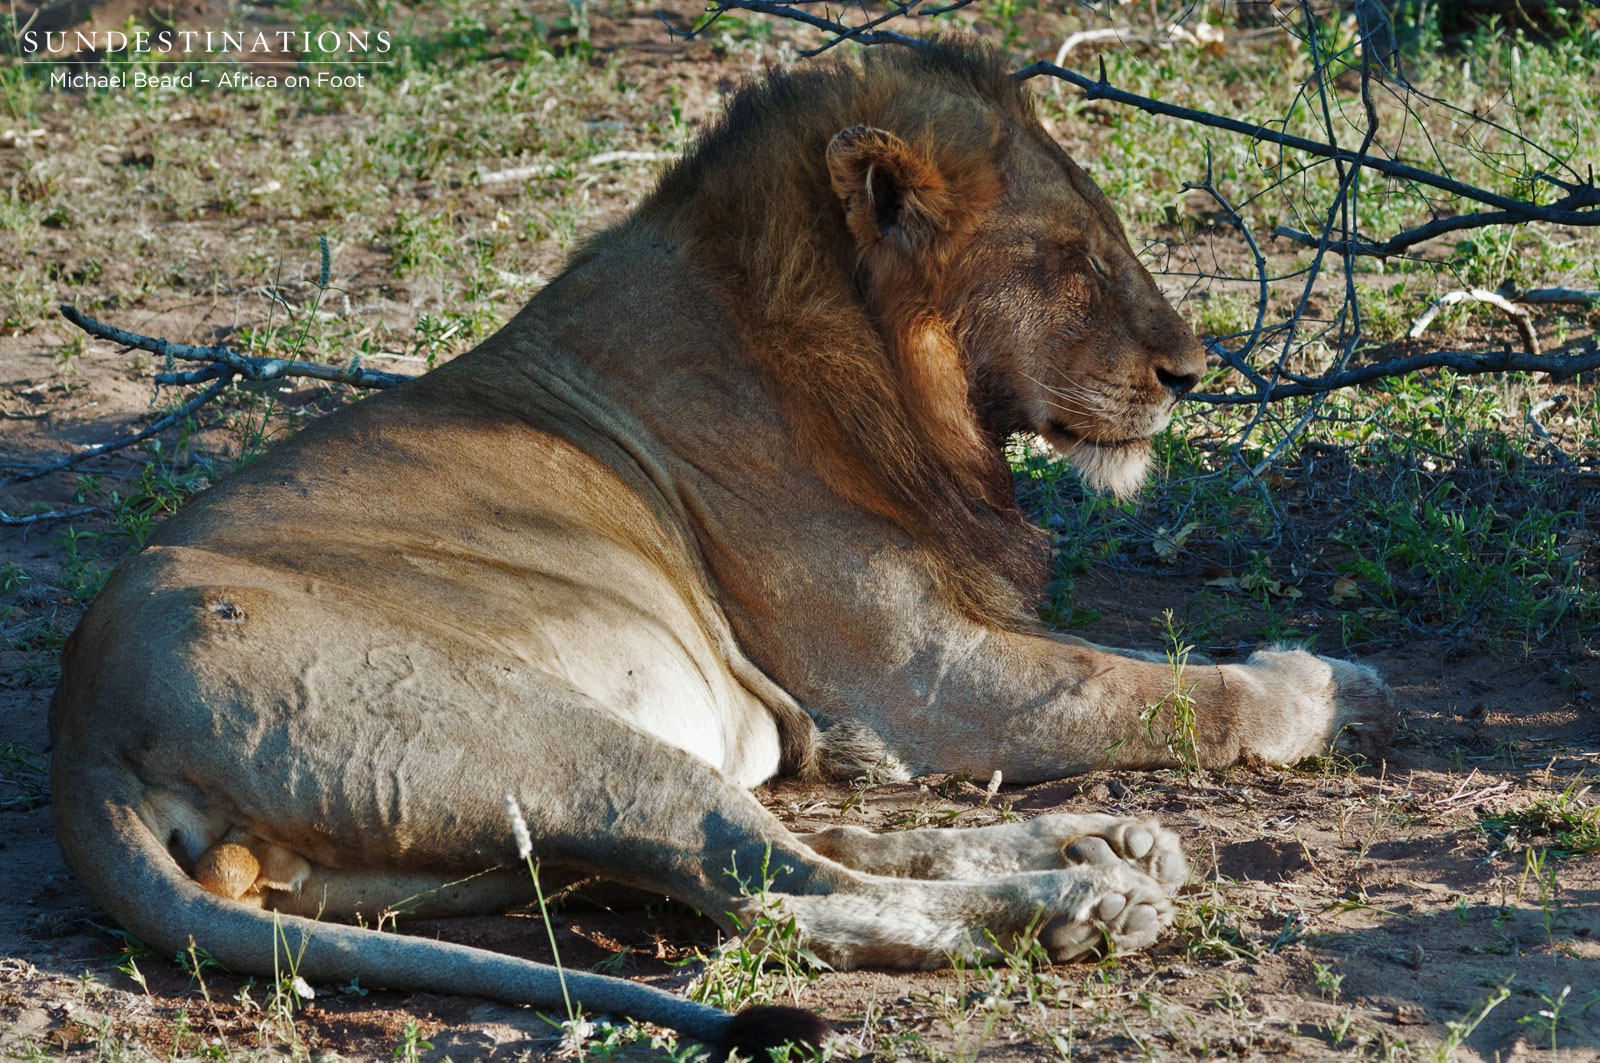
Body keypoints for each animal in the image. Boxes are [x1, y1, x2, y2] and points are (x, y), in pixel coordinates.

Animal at [49, 41, 1395, 1054]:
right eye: (1065, 260)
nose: (1190, 370)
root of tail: (83, 733)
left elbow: (1133, 671)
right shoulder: (916, 682)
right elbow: (1155, 689)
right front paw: (1329, 688)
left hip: (475, 853)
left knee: (794, 847)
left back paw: (1105, 843)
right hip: (550, 736)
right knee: (783, 897)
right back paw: (1081, 899)